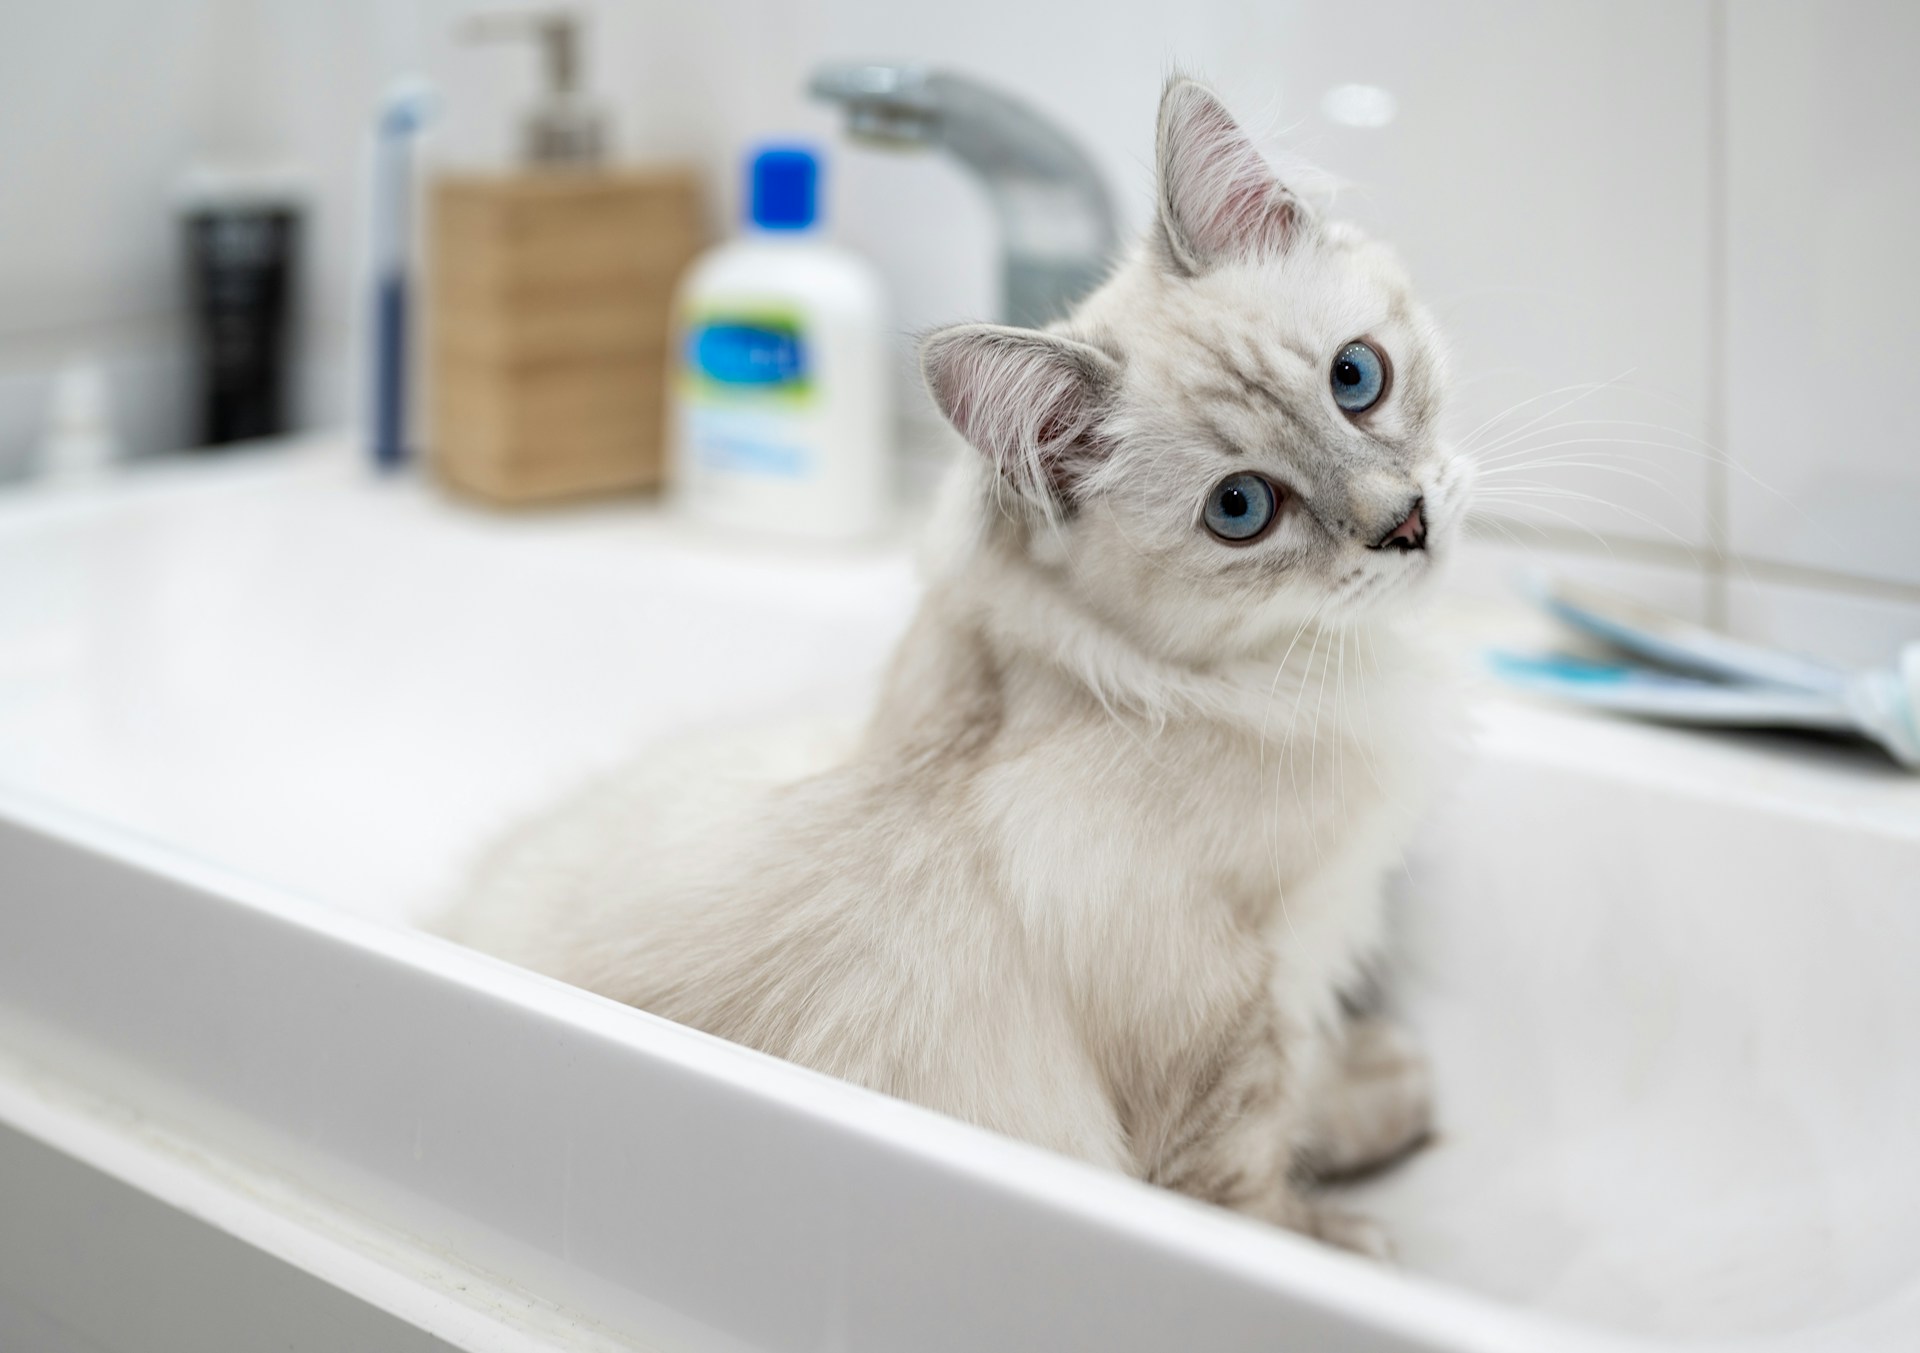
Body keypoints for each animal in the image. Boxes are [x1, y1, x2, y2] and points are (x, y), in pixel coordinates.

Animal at [445, 79, 1466, 1251]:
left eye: (1357, 378)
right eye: (1243, 509)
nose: (1407, 525)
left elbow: (1310, 1099)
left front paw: (1385, 1092)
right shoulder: (1234, 1024)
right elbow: (1253, 1196)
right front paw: (1357, 1233)